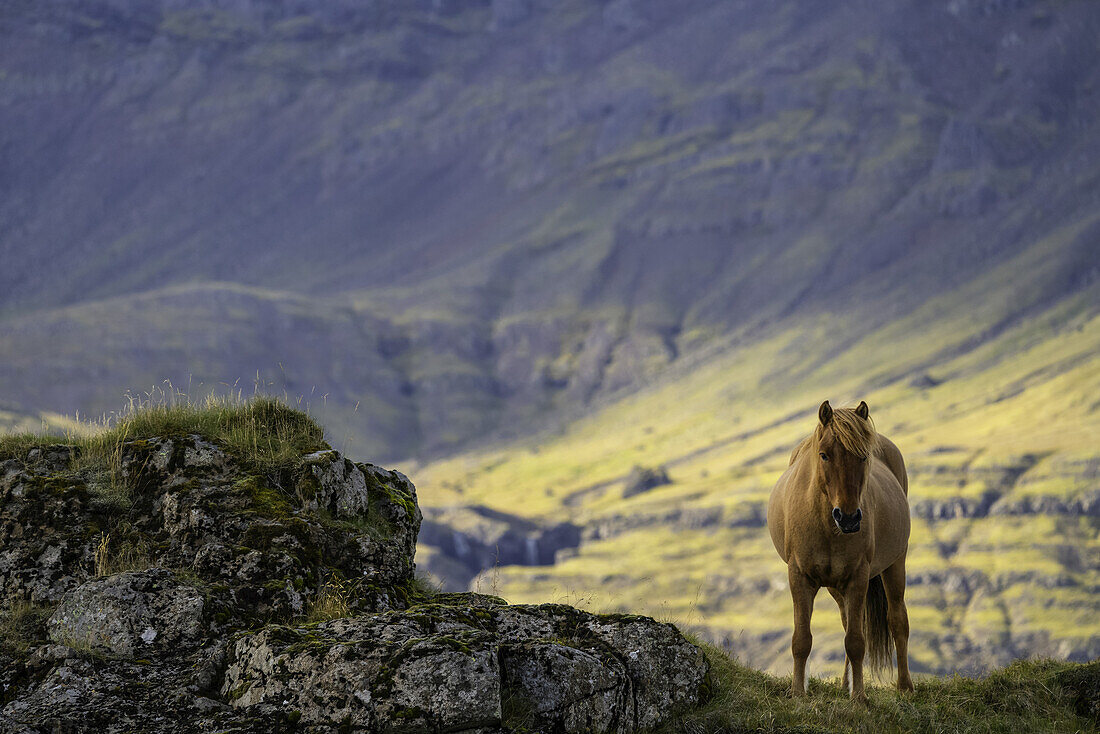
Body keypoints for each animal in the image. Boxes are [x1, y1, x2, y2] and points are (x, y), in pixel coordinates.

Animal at [765, 402, 910, 699]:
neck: (826, 525)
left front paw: (859, 698)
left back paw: (905, 688)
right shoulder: (800, 577)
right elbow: (802, 640)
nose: (849, 518)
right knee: (847, 621)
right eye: (824, 455)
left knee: (898, 621)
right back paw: (845, 684)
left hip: (895, 564)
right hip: (836, 585)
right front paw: (798, 694)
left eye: (863, 457)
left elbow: (856, 642)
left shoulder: (858, 577)